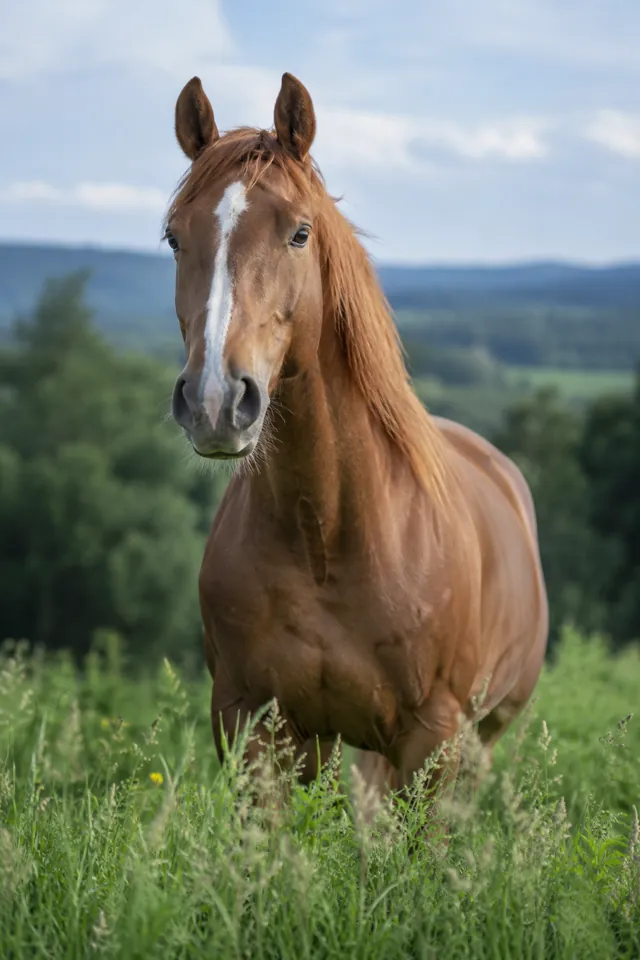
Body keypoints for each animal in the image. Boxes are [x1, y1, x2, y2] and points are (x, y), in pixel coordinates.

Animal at [164, 71, 549, 811]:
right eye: (172, 237)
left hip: (475, 744)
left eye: (299, 232)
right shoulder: (255, 727)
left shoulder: (434, 739)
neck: (330, 532)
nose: (215, 402)